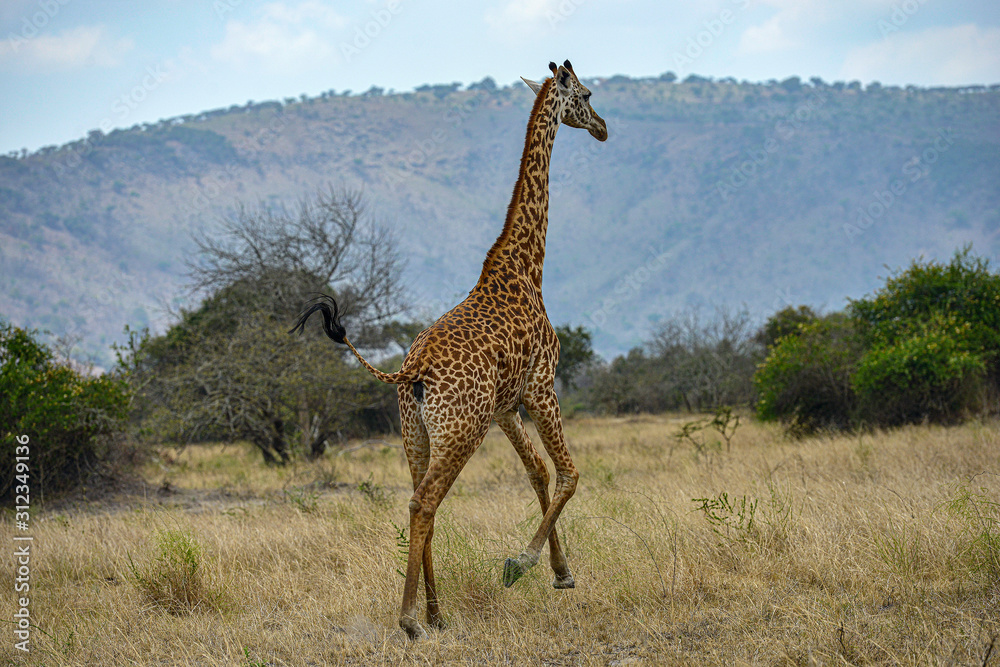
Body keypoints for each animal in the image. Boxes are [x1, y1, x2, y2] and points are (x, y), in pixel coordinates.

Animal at [290, 60, 607, 640]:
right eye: (588, 93)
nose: (602, 128)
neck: (526, 267)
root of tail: (409, 373)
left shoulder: (505, 407)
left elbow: (538, 473)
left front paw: (561, 573)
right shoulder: (542, 384)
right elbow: (569, 474)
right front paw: (521, 563)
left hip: (416, 433)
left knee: (423, 504)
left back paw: (436, 613)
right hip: (460, 431)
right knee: (425, 503)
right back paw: (411, 620)